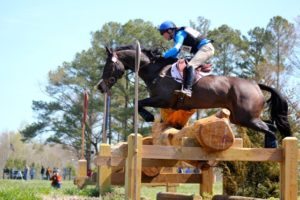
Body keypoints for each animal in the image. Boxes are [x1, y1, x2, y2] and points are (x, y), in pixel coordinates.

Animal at [97, 45, 292, 148]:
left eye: (107, 66)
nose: (100, 87)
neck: (155, 71)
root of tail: (255, 85)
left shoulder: (162, 99)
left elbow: (138, 103)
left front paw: (149, 116)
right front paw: (151, 117)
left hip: (246, 117)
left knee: (270, 128)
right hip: (243, 117)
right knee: (270, 125)